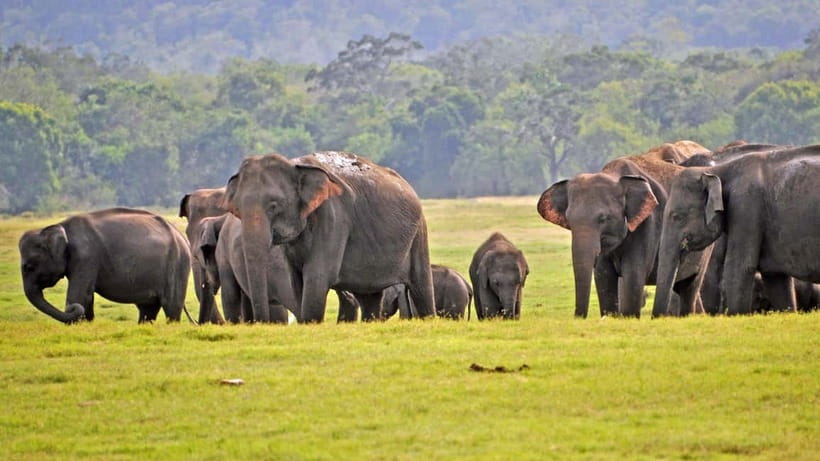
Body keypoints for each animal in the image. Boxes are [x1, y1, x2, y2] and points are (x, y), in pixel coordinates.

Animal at [19, 208, 192, 324]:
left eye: (29, 267)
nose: (71, 308)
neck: (60, 226)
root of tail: (181, 236)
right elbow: (87, 296)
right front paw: (86, 323)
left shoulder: (86, 256)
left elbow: (80, 295)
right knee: (148, 309)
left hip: (177, 264)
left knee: (171, 307)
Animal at [221, 151, 435, 323]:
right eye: (237, 209)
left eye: (274, 206)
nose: (260, 322)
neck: (295, 165)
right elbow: (296, 280)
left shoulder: (334, 218)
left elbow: (317, 276)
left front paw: (310, 323)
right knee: (369, 297)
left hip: (418, 233)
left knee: (421, 287)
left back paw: (428, 318)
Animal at [537, 141, 713, 318]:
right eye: (570, 221)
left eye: (604, 218)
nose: (579, 317)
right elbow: (603, 276)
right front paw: (611, 316)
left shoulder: (647, 225)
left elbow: (632, 276)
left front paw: (628, 317)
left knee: (690, 286)